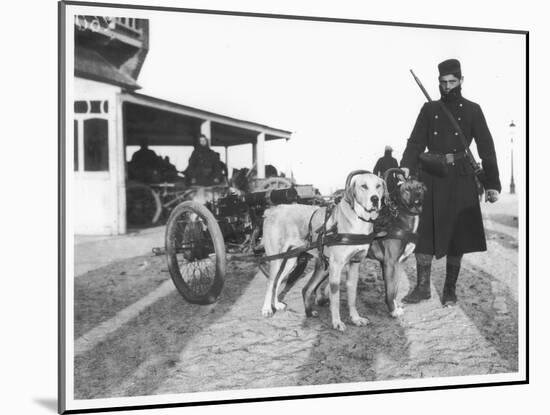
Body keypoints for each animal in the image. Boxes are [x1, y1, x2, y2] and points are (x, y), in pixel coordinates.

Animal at [264, 171, 388, 334]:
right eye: (364, 186)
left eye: (379, 186)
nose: (375, 199)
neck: (358, 218)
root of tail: (273, 210)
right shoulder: (336, 265)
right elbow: (335, 298)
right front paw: (337, 322)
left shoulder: (355, 263)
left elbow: (352, 296)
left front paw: (356, 319)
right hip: (276, 260)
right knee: (271, 282)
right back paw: (267, 308)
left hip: (290, 260)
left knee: (278, 281)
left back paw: (277, 304)